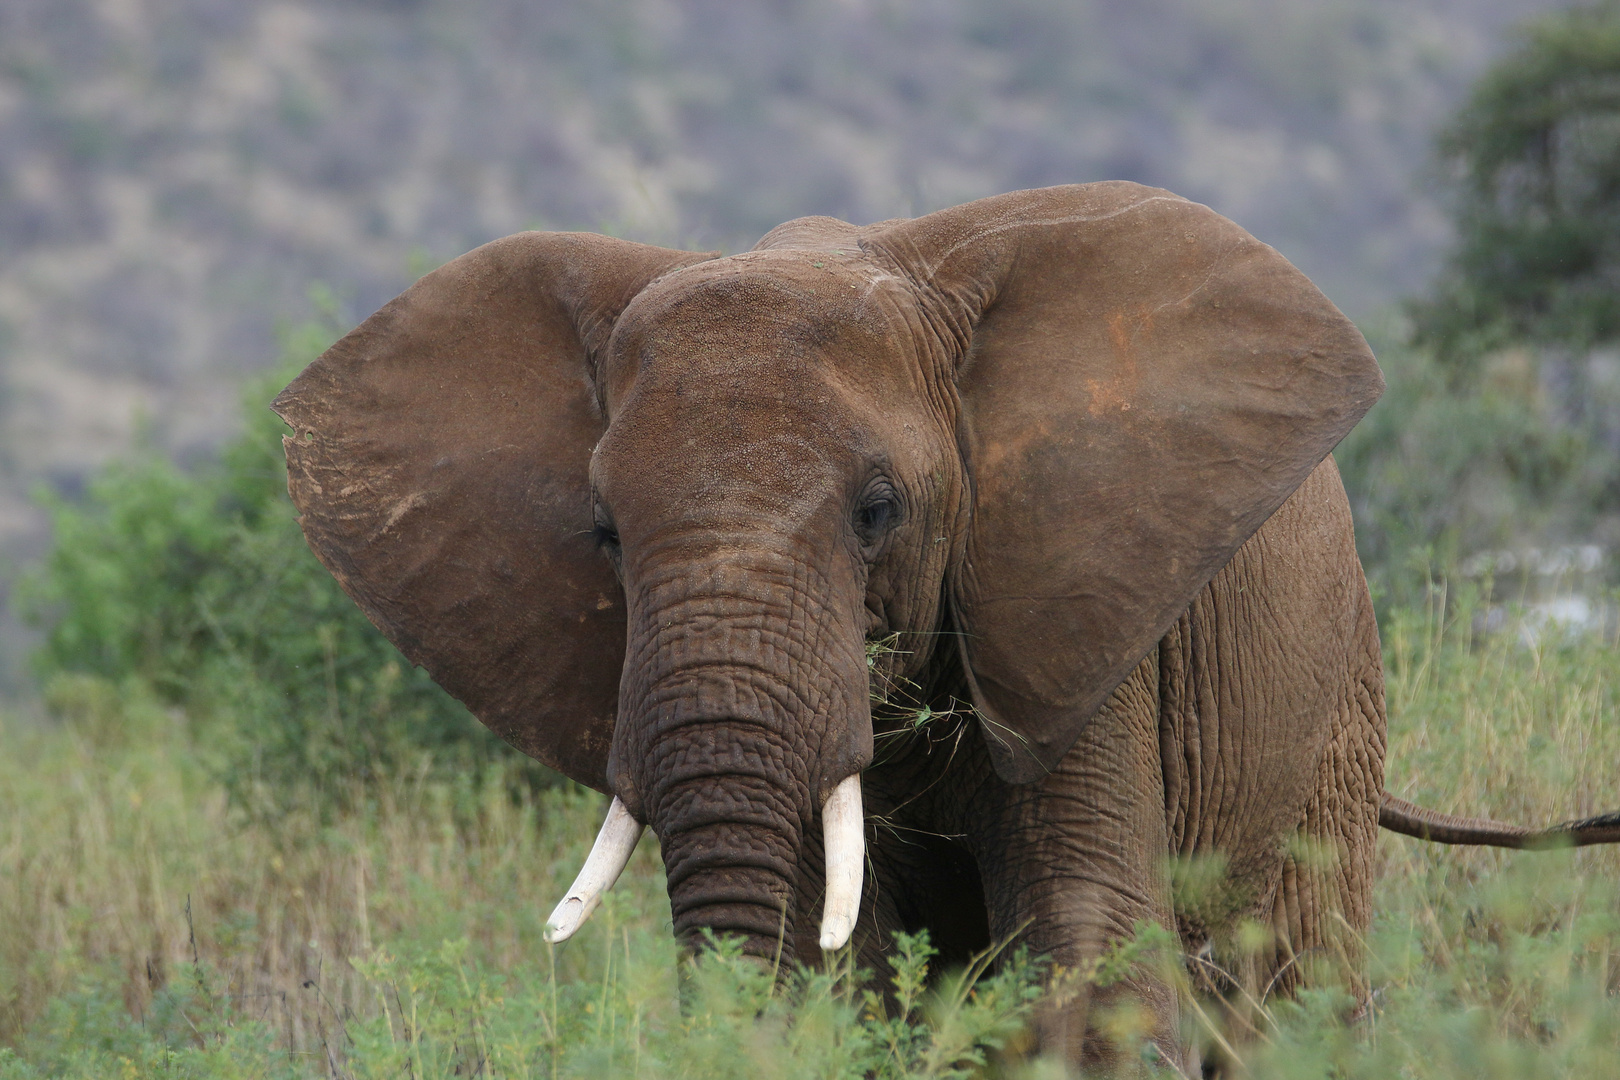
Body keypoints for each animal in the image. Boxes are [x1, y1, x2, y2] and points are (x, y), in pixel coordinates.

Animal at [272, 181, 1613, 1068]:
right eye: (602, 531)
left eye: (880, 512)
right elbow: (841, 967)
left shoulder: (1078, 603)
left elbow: (1092, 937)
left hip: (1333, 688)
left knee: (1291, 976)